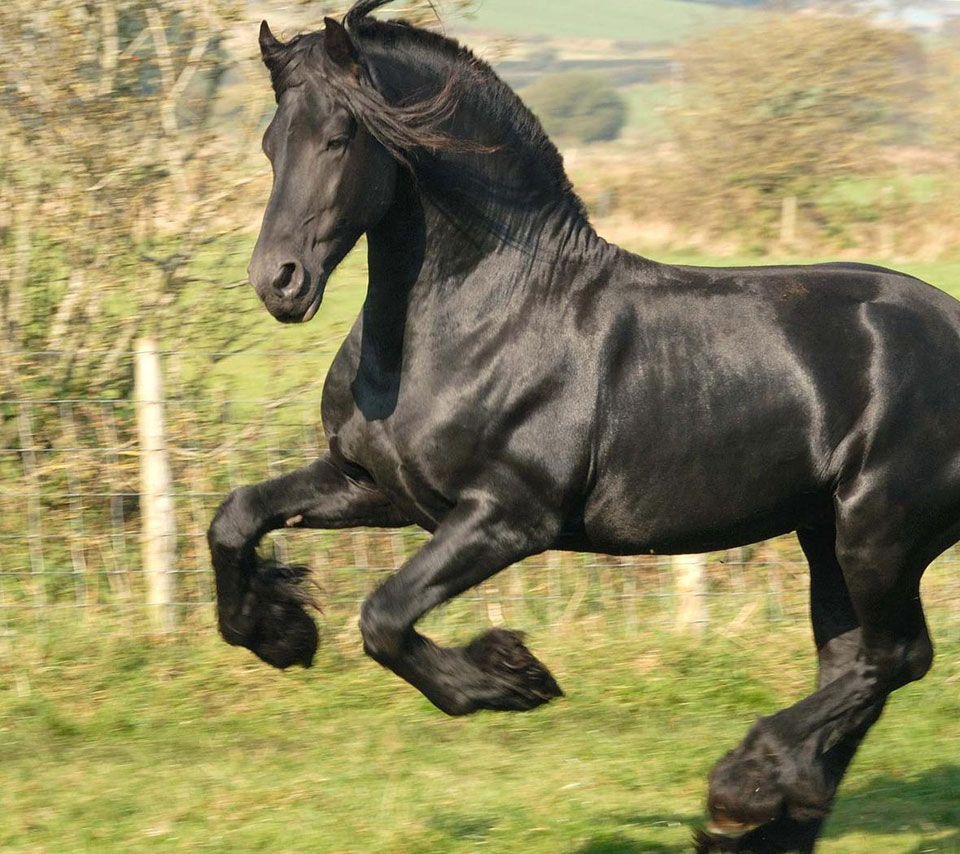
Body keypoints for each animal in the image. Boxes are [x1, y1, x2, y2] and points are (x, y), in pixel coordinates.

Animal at [207, 3, 960, 851]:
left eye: (340, 136)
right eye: (271, 141)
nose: (278, 282)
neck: (481, 317)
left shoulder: (509, 516)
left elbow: (385, 618)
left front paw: (509, 675)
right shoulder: (375, 486)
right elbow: (236, 516)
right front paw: (278, 633)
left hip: (879, 530)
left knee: (894, 658)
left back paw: (740, 787)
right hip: (822, 532)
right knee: (854, 664)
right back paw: (771, 817)